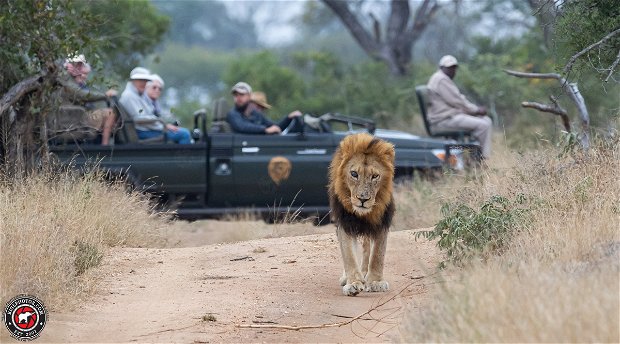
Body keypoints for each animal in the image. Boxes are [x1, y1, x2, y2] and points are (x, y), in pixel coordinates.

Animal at [326, 132, 394, 296]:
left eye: (375, 176)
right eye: (354, 174)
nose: (363, 199)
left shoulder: (381, 221)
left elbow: (377, 254)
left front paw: (376, 282)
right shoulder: (344, 222)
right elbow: (349, 255)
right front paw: (353, 283)